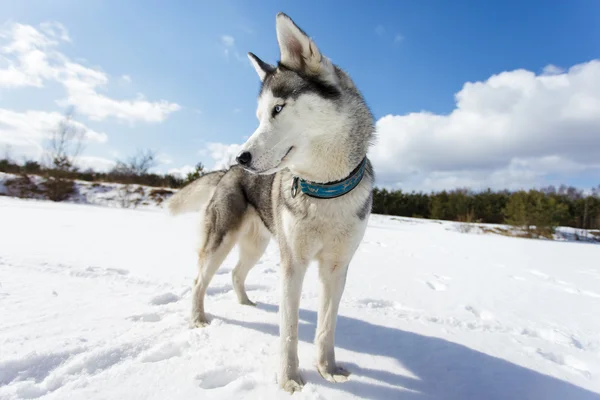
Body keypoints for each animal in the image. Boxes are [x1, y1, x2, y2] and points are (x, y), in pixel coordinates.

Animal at [169, 13, 372, 394]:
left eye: (278, 109)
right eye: (260, 116)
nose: (242, 156)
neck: (324, 188)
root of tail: (226, 173)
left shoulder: (337, 267)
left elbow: (327, 326)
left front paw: (328, 369)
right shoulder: (293, 264)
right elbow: (288, 330)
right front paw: (290, 379)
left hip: (257, 245)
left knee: (236, 273)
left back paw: (246, 303)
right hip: (222, 241)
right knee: (198, 280)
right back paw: (198, 319)